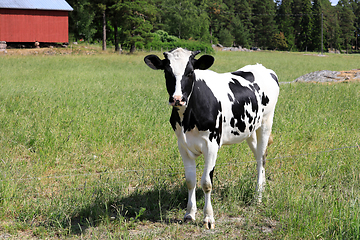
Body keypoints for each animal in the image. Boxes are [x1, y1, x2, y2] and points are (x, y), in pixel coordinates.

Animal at [145, 47, 280, 229]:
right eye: (167, 72)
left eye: (190, 72)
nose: (177, 99)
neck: (188, 118)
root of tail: (263, 68)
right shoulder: (183, 145)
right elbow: (190, 181)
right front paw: (189, 214)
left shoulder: (211, 145)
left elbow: (206, 183)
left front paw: (208, 218)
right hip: (250, 129)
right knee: (260, 155)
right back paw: (262, 188)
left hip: (266, 122)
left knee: (261, 159)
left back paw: (258, 196)